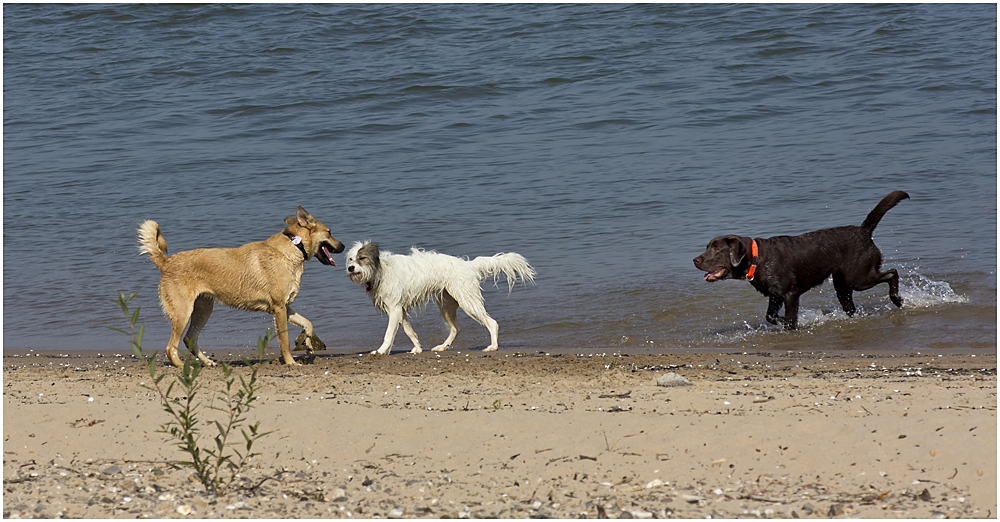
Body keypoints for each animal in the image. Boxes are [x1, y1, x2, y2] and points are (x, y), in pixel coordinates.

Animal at [138, 206, 344, 366]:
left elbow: (308, 323)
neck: (294, 247)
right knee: (170, 347)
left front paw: (308, 345)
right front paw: (291, 362)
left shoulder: (285, 307)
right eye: (330, 232)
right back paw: (181, 367)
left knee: (189, 339)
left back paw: (207, 363)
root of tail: (167, 262)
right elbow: (284, 341)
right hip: (183, 313)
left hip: (203, 310)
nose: (342, 246)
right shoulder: (279, 308)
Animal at [346, 241, 536, 354]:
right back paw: (443, 346)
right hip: (447, 305)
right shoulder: (399, 309)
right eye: (350, 259)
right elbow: (409, 331)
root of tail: (468, 265)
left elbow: (388, 334)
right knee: (455, 328)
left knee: (492, 323)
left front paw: (380, 351)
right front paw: (417, 348)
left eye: (362, 258)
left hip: (467, 301)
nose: (350, 268)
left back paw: (493, 346)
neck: (381, 270)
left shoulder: (394, 308)